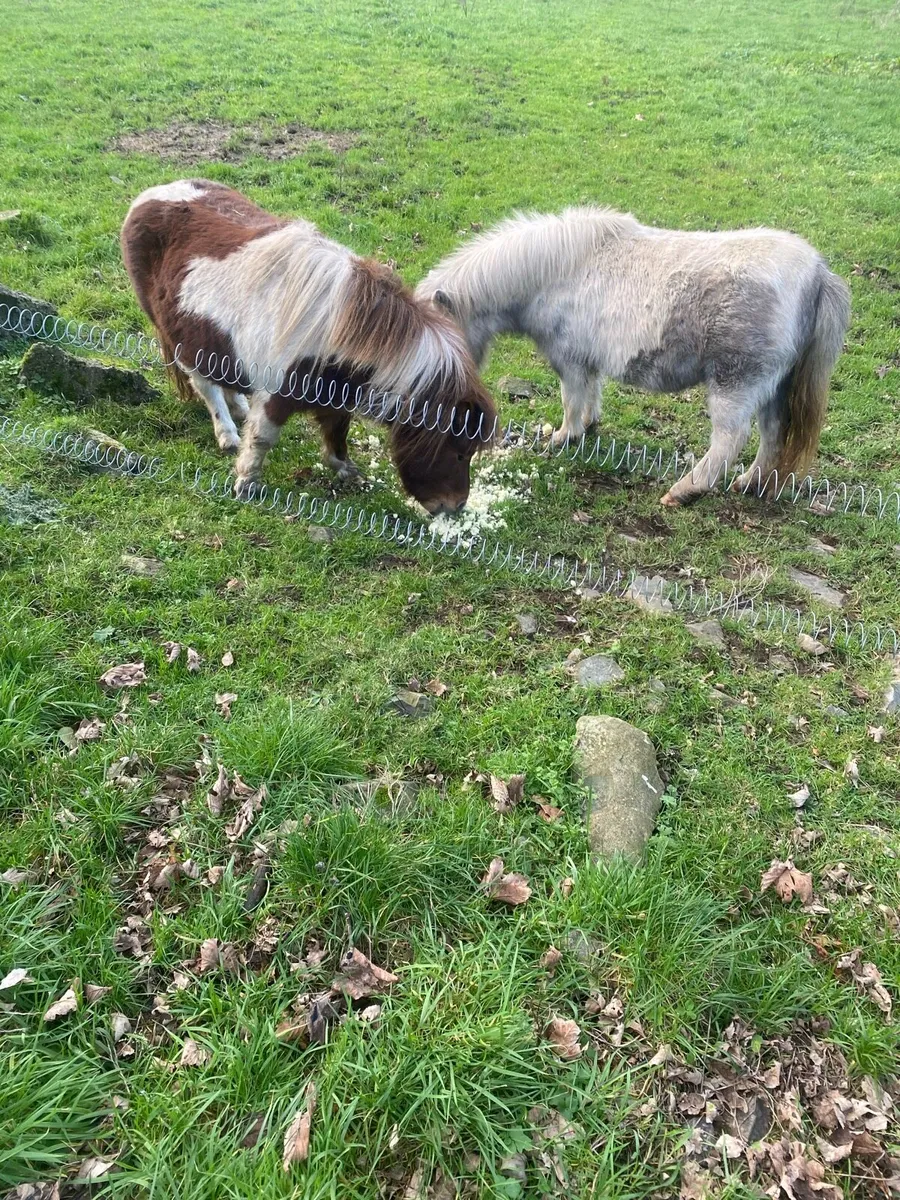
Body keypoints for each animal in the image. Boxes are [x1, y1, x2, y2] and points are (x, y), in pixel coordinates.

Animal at [121, 179, 496, 513]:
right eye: (460, 451)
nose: (454, 507)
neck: (337, 334)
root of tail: (148, 196)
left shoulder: (337, 396)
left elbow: (337, 432)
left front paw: (346, 470)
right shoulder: (276, 393)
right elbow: (262, 437)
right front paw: (247, 482)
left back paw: (238, 407)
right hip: (180, 340)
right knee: (205, 387)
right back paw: (227, 435)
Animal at [416, 207, 850, 505]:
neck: (554, 273)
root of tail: (817, 274)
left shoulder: (569, 361)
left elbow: (571, 399)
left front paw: (562, 438)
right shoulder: (586, 363)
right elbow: (590, 395)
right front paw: (587, 428)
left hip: (736, 382)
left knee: (730, 439)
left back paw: (685, 490)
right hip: (773, 386)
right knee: (773, 433)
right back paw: (752, 484)